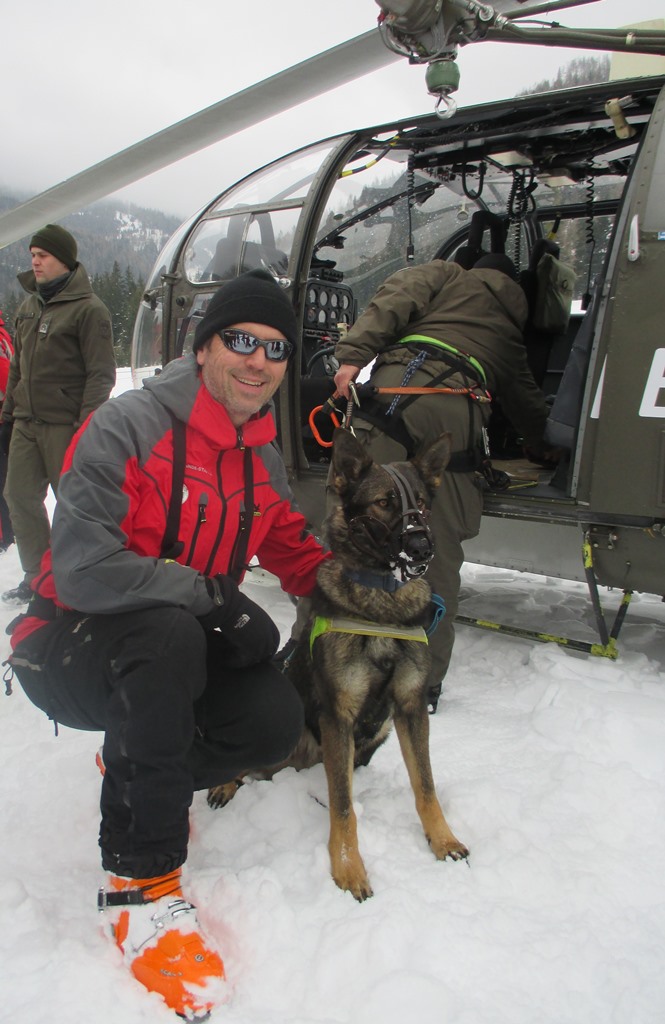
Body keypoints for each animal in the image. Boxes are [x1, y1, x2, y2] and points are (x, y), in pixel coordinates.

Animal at [209, 428, 467, 901]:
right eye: (384, 502)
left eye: (422, 503)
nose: (424, 547)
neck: (382, 601)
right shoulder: (339, 714)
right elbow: (344, 807)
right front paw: (348, 869)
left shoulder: (410, 708)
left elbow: (425, 786)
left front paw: (443, 840)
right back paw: (224, 782)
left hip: (377, 729)